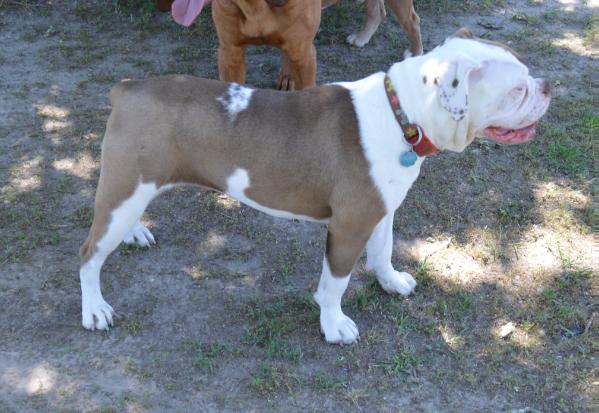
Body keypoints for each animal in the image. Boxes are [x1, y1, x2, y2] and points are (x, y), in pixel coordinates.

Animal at [157, 0, 424, 89]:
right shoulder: (230, 53)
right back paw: (363, 36)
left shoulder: (305, 53)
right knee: (377, 10)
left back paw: (416, 54)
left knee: (412, 20)